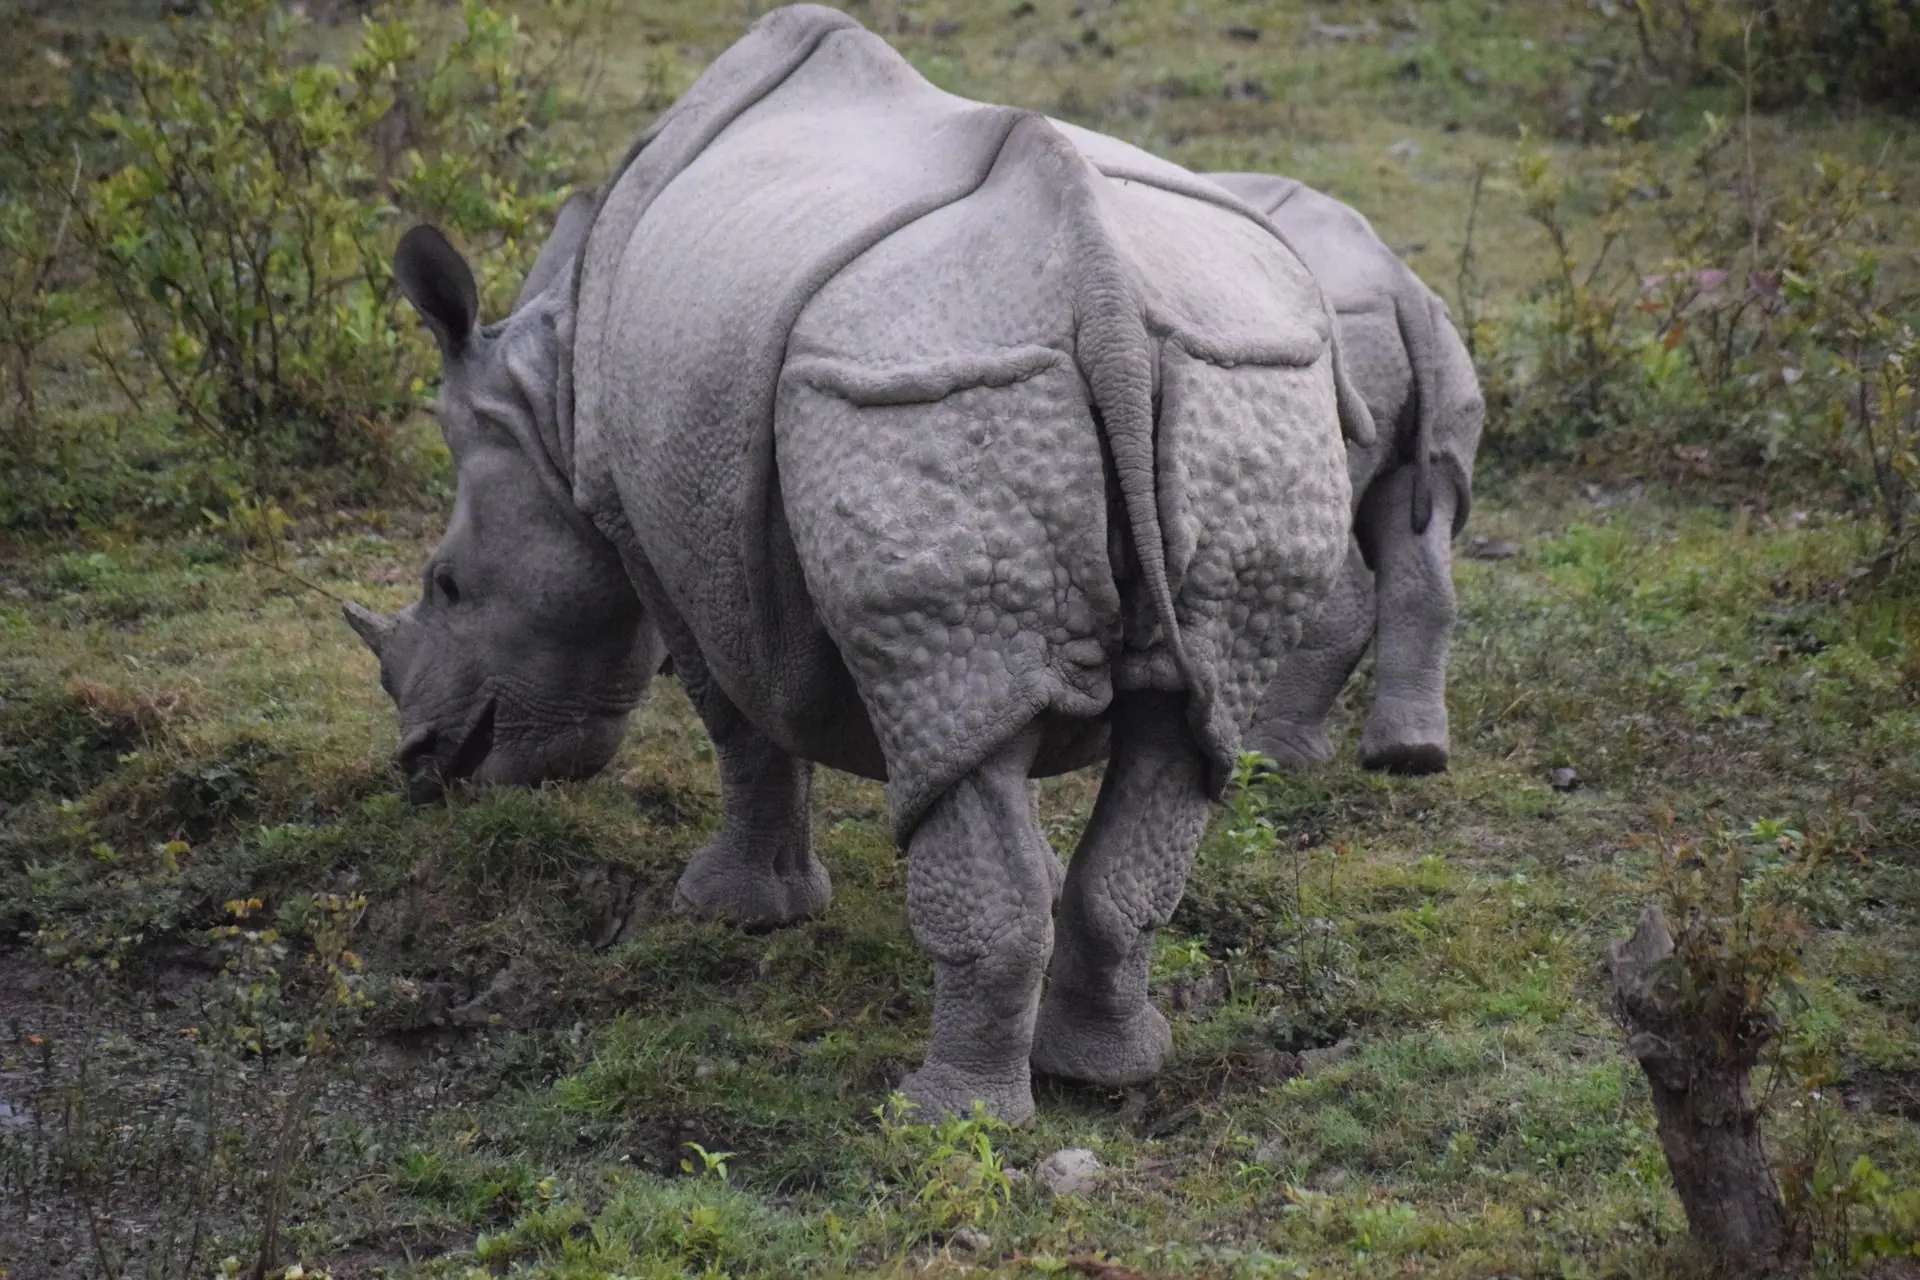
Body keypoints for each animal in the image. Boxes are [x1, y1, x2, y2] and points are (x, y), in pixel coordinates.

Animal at [343, 4, 1370, 1123]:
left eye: (448, 584)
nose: (420, 766)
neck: (550, 401)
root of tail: (1101, 291)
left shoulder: (643, 523)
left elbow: (738, 723)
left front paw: (734, 912)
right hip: (1240, 375)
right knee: (1177, 734)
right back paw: (1109, 1071)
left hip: (923, 384)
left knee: (967, 692)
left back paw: (935, 1116)